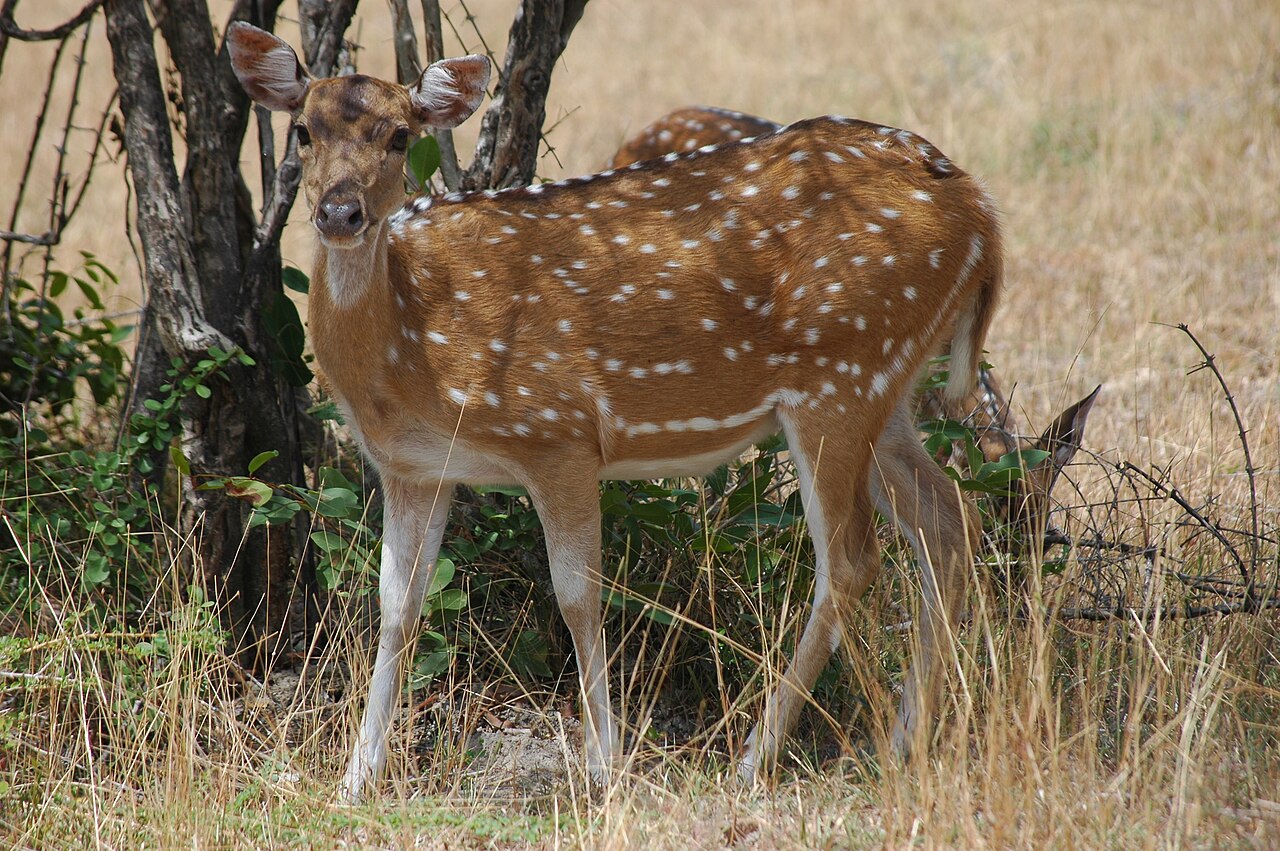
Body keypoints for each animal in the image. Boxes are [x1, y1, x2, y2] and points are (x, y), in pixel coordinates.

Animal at [228, 22, 1002, 802]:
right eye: (303, 131)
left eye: (397, 135)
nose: (339, 213)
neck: (413, 345)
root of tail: (981, 212)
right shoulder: (417, 467)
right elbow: (396, 606)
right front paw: (357, 777)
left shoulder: (557, 432)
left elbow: (577, 597)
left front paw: (605, 766)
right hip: (886, 386)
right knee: (948, 519)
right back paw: (904, 742)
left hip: (840, 377)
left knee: (850, 561)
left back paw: (755, 757)